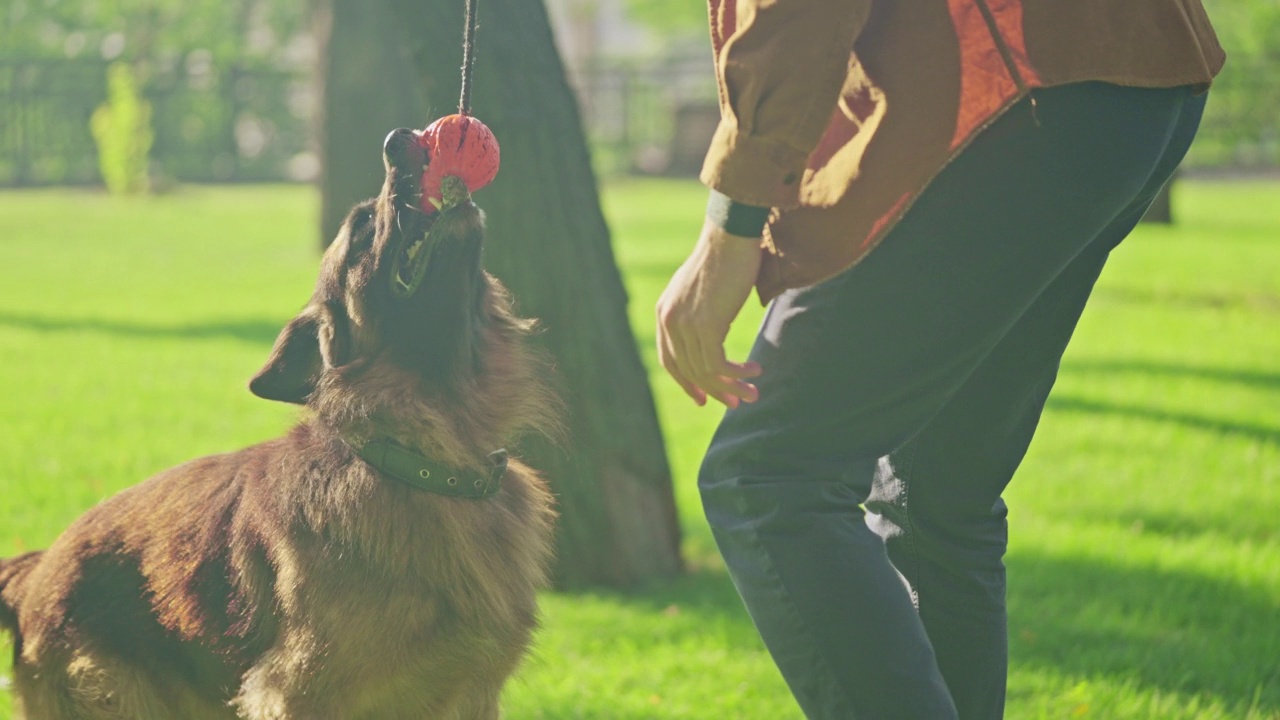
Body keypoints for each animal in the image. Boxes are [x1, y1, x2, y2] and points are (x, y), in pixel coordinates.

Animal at [1, 128, 560, 717]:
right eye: (363, 229)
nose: (397, 139)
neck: (421, 459)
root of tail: (37, 567)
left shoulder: (472, 694)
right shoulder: (296, 692)